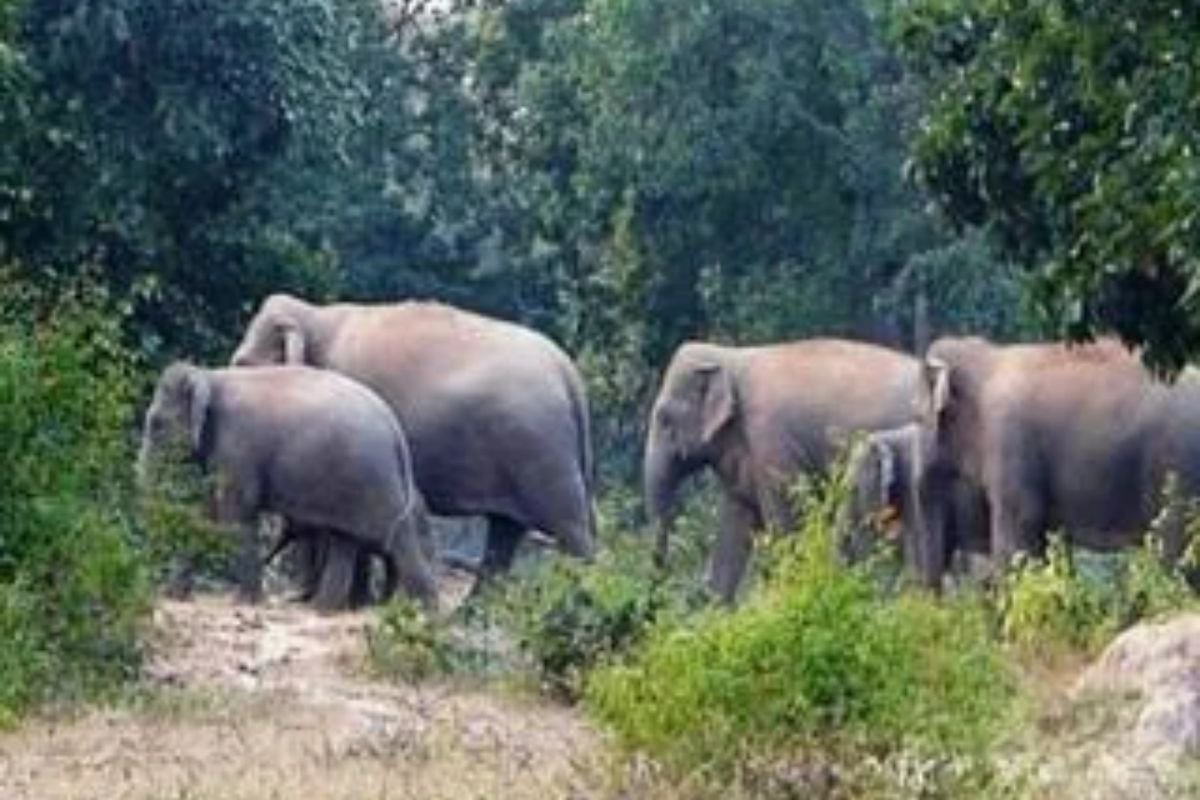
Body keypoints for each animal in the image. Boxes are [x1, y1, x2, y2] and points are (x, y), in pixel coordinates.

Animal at [136, 362, 438, 611]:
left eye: (156, 424)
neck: (209, 375)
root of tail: (395, 429)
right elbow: (207, 514)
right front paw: (174, 596)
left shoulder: (237, 448)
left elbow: (234, 514)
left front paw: (245, 602)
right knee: (345, 539)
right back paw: (320, 609)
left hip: (372, 479)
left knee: (396, 537)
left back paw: (427, 616)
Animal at [229, 293, 595, 600]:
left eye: (243, 365)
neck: (313, 315)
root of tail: (569, 373)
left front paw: (351, 600)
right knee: (505, 531)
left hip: (541, 449)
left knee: (569, 526)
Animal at [644, 339, 921, 602]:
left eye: (664, 419)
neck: (730, 356)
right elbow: (735, 521)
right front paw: (717, 612)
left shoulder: (770, 440)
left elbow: (786, 520)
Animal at [912, 335, 1200, 589]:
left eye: (918, 418)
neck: (986, 356)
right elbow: (1048, 542)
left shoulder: (1008, 440)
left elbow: (1018, 531)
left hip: (1177, 468)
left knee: (1172, 541)